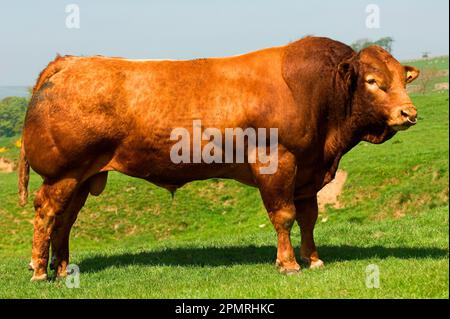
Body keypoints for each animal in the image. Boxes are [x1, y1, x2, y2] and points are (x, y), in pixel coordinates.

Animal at [18, 37, 418, 282]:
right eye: (372, 81)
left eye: (403, 78)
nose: (409, 113)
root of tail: (70, 62)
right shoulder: (276, 163)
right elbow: (284, 215)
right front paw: (288, 264)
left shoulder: (308, 171)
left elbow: (308, 217)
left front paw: (314, 258)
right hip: (63, 174)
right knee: (47, 213)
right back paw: (39, 270)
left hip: (82, 177)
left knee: (65, 221)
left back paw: (62, 269)